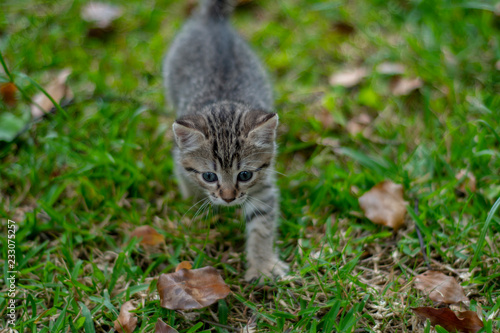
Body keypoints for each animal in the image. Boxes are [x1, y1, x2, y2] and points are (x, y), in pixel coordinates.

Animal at [163, 0, 288, 280]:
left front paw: (262, 265)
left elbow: (262, 226)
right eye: (210, 176)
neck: (224, 104)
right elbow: (187, 183)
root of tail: (214, 20)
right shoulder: (178, 159)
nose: (229, 198)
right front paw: (196, 207)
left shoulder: (264, 186)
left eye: (245, 175)